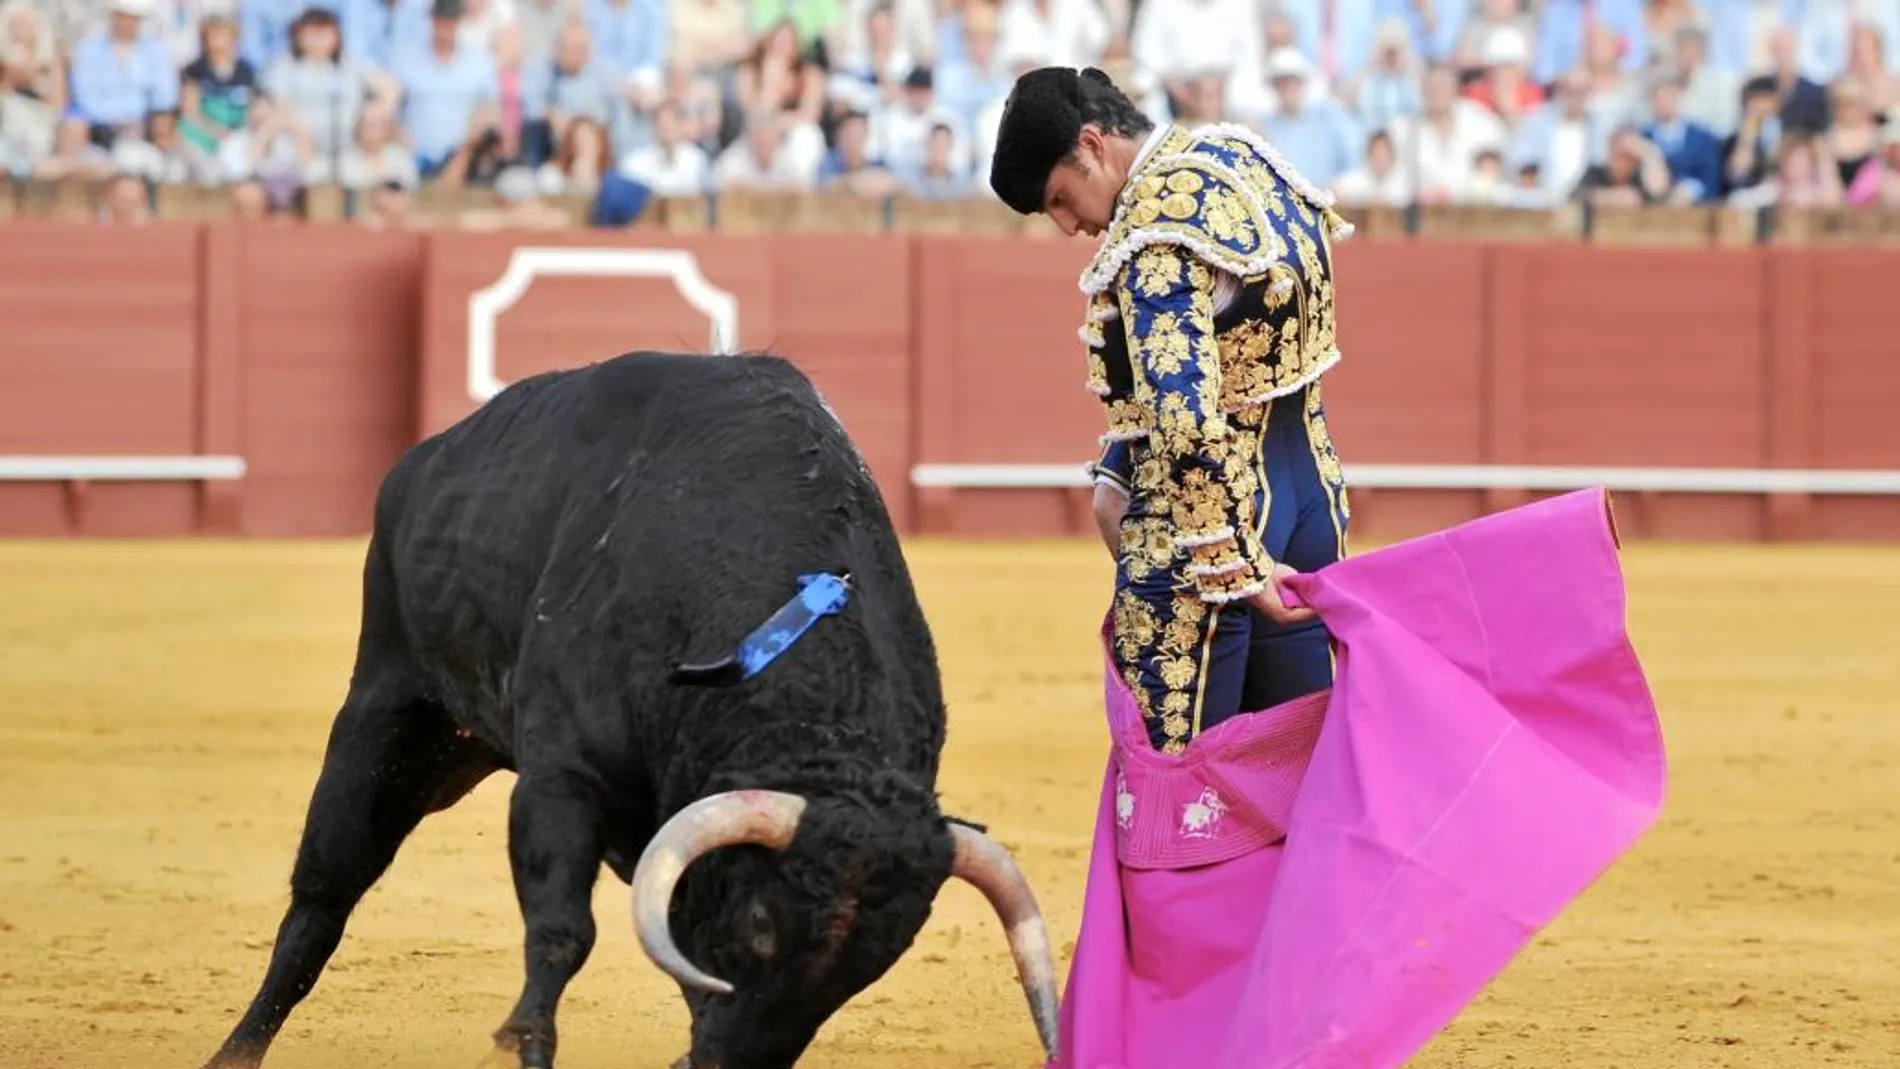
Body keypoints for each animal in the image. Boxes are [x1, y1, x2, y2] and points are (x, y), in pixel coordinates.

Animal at [209, 353, 1071, 1069]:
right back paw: (235, 1051)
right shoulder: (563, 779)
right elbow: (563, 930)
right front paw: (523, 1044)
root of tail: (427, 459)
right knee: (322, 898)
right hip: (387, 712)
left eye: (870, 965)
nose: (732, 1064)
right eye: (760, 922)